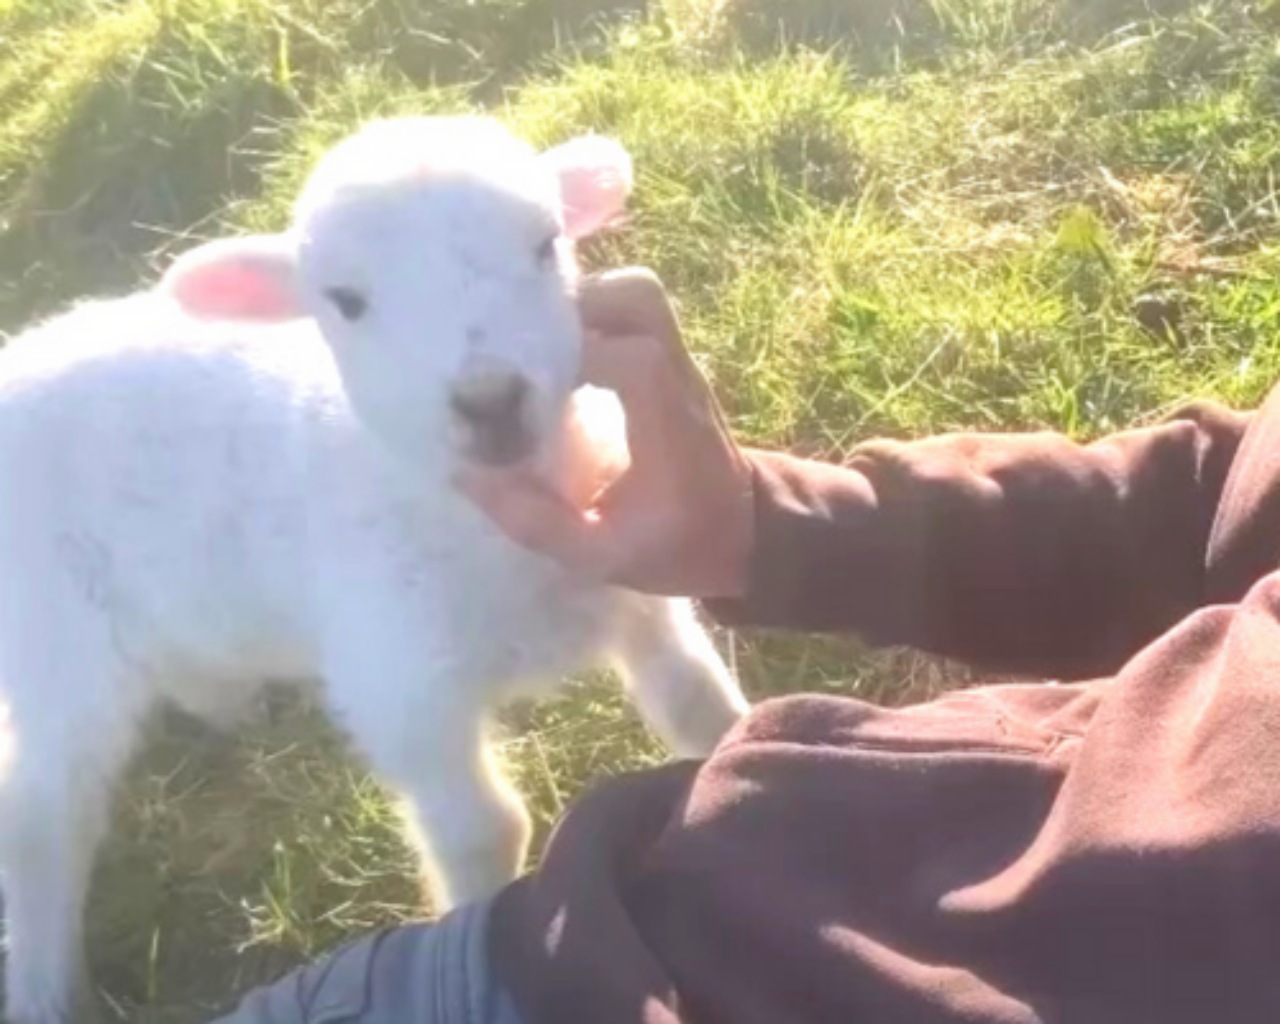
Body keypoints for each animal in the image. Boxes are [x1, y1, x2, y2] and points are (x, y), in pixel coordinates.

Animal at [0, 115, 747, 1018]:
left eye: (545, 244)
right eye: (346, 302)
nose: (489, 401)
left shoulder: (641, 586)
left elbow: (699, 707)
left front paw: (729, 768)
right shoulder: (402, 686)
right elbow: (485, 829)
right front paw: (478, 916)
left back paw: (229, 702)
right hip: (50, 633)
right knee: (40, 819)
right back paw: (41, 986)